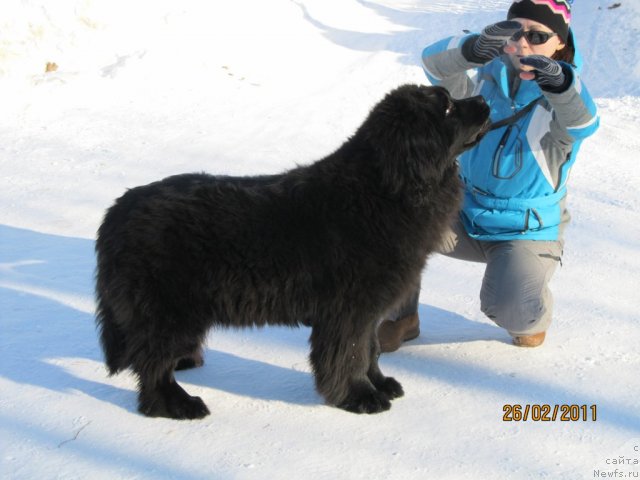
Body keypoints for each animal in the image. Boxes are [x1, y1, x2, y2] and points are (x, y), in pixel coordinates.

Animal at [95, 84, 488, 418]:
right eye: (448, 106)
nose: (485, 100)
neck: (384, 191)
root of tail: (118, 208)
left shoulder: (370, 310)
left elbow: (371, 350)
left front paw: (380, 384)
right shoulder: (349, 310)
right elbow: (351, 354)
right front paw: (360, 396)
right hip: (170, 309)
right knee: (153, 365)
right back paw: (176, 404)